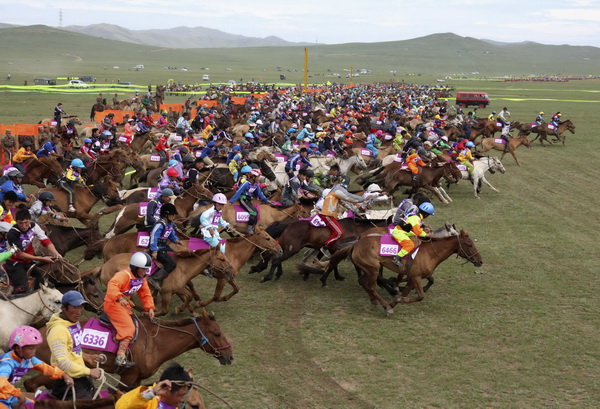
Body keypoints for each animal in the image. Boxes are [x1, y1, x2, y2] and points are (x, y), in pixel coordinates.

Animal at [28, 310, 234, 388]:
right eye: (217, 333)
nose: (230, 356)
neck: (155, 342)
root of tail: (39, 331)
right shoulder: (127, 377)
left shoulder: (137, 379)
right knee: (31, 384)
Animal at [300, 226, 482, 312]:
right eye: (469, 244)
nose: (480, 261)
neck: (429, 252)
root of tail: (357, 242)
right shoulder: (416, 277)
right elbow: (420, 296)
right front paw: (395, 300)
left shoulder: (412, 277)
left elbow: (407, 292)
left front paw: (396, 299)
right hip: (373, 267)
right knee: (370, 285)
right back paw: (384, 305)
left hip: (369, 268)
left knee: (364, 283)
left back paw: (376, 300)